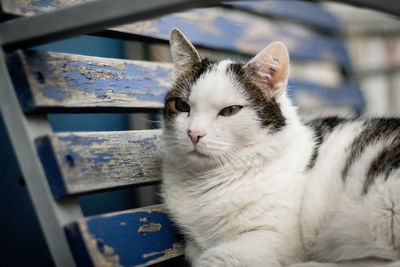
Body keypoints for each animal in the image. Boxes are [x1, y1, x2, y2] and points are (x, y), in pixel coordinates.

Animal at [160, 28, 400, 266]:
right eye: (181, 105)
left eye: (230, 111)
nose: (194, 133)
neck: (205, 181)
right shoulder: (194, 246)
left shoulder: (271, 244)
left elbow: (213, 258)